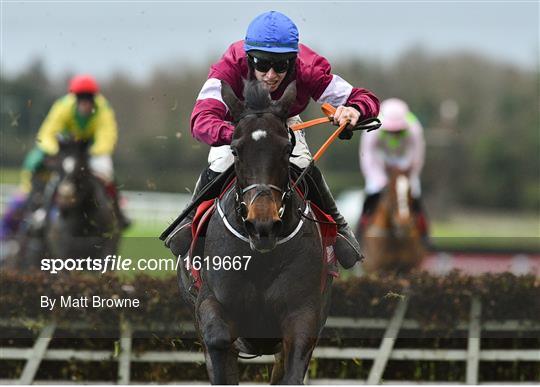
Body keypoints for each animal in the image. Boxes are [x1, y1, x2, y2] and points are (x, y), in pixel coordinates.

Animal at [10, 139, 121, 270]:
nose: (66, 197)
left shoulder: (108, 246)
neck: (82, 225)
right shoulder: (62, 250)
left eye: (82, 167)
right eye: (58, 167)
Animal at [175, 81, 334, 384]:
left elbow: (294, 364)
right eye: (236, 150)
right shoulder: (210, 303)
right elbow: (218, 339)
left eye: (286, 149)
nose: (263, 225)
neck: (261, 257)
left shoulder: (304, 312)